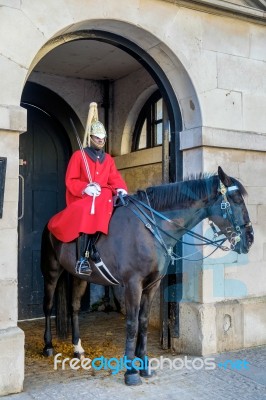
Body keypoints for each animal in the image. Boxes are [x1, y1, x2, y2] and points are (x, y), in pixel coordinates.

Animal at [41, 166, 254, 384]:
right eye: (236, 200)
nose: (250, 238)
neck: (152, 228)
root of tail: (53, 220)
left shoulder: (152, 285)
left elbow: (142, 322)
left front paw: (143, 365)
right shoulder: (133, 284)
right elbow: (132, 323)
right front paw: (130, 372)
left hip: (80, 277)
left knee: (74, 307)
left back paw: (77, 348)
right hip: (51, 272)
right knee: (47, 306)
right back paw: (48, 346)